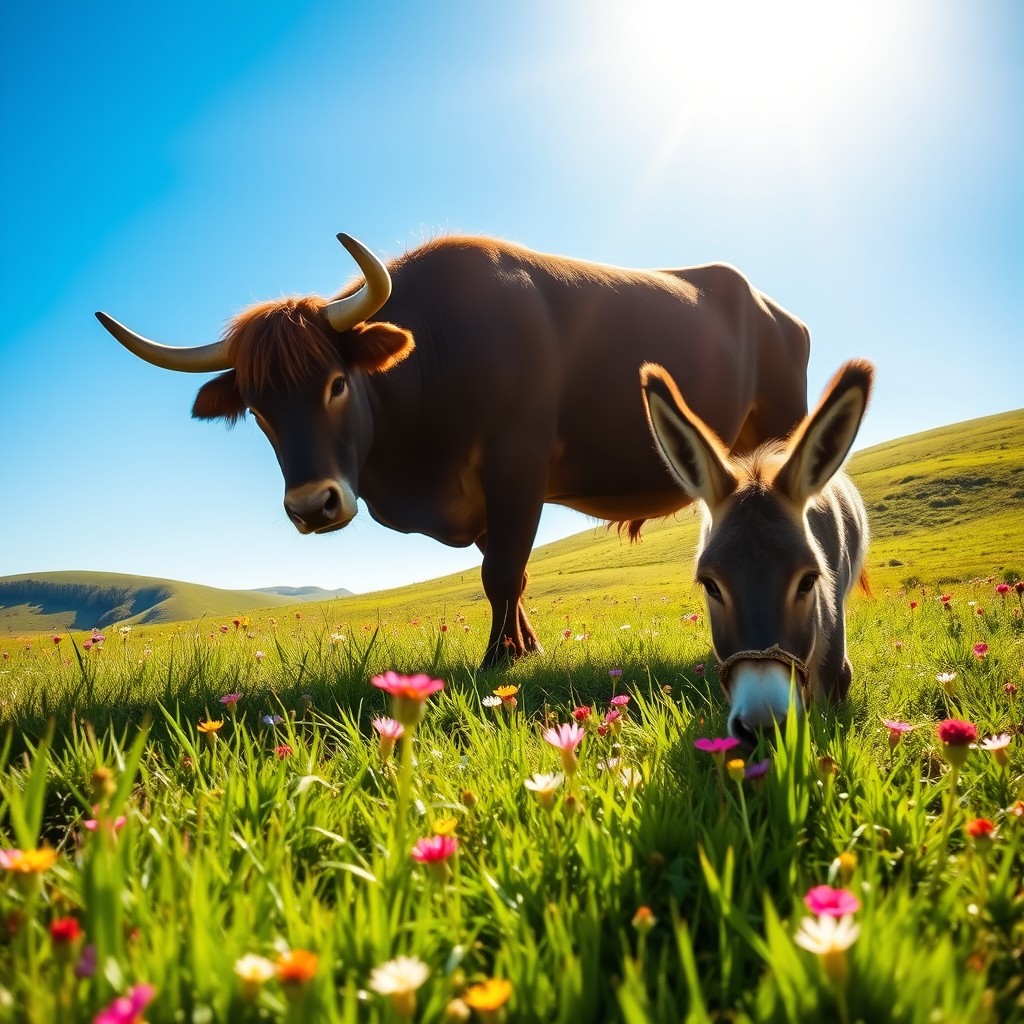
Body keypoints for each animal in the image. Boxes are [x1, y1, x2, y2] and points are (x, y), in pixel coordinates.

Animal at [96, 232, 812, 668]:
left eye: (336, 383)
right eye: (259, 410)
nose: (312, 506)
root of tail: (772, 307)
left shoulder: (517, 465)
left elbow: (503, 572)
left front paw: (499, 659)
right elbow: (507, 577)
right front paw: (524, 647)